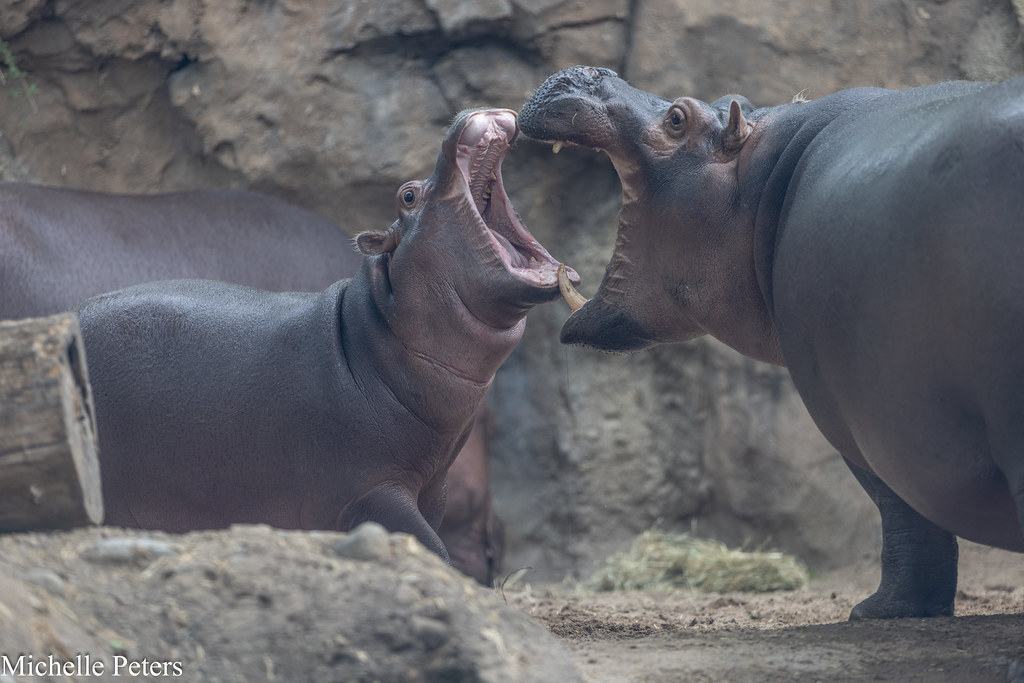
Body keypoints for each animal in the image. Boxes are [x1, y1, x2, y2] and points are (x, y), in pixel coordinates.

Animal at [520, 66, 1024, 620]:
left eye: (677, 118)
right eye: (727, 96)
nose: (593, 71)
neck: (762, 178)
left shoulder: (852, 415)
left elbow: (898, 504)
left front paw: (879, 610)